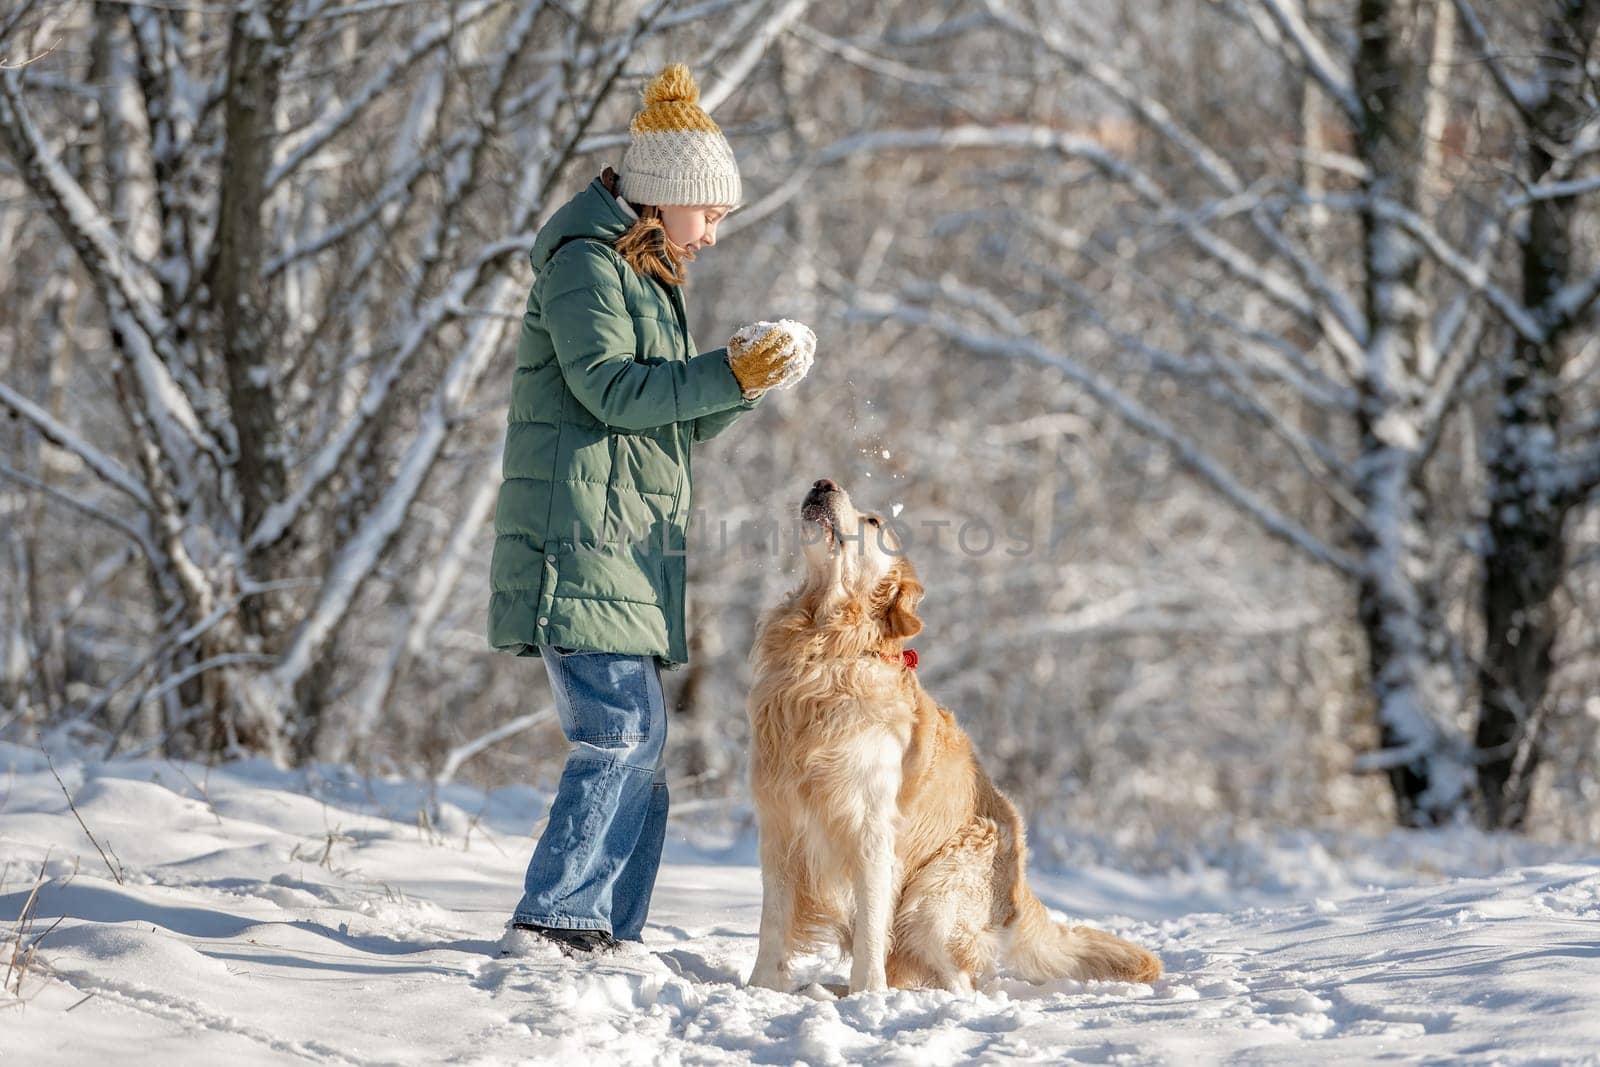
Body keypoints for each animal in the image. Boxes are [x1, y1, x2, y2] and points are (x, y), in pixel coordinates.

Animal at [742, 479, 1158, 998]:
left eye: (874, 522)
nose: (823, 483)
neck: (826, 651)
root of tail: (1020, 883)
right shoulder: (780, 821)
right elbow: (773, 921)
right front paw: (761, 988)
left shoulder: (871, 830)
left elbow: (870, 930)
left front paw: (868, 997)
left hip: (934, 900)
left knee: (961, 980)